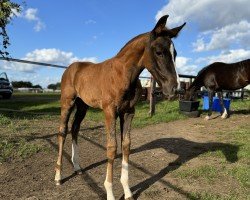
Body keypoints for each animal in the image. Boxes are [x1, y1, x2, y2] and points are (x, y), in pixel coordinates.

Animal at [55, 16, 187, 200]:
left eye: (175, 54)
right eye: (159, 52)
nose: (176, 89)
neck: (123, 75)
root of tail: (71, 68)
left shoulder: (128, 112)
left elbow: (126, 145)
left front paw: (127, 191)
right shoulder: (109, 112)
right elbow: (112, 148)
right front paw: (110, 192)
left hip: (83, 106)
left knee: (75, 129)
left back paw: (78, 167)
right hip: (67, 103)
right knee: (63, 132)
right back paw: (58, 176)